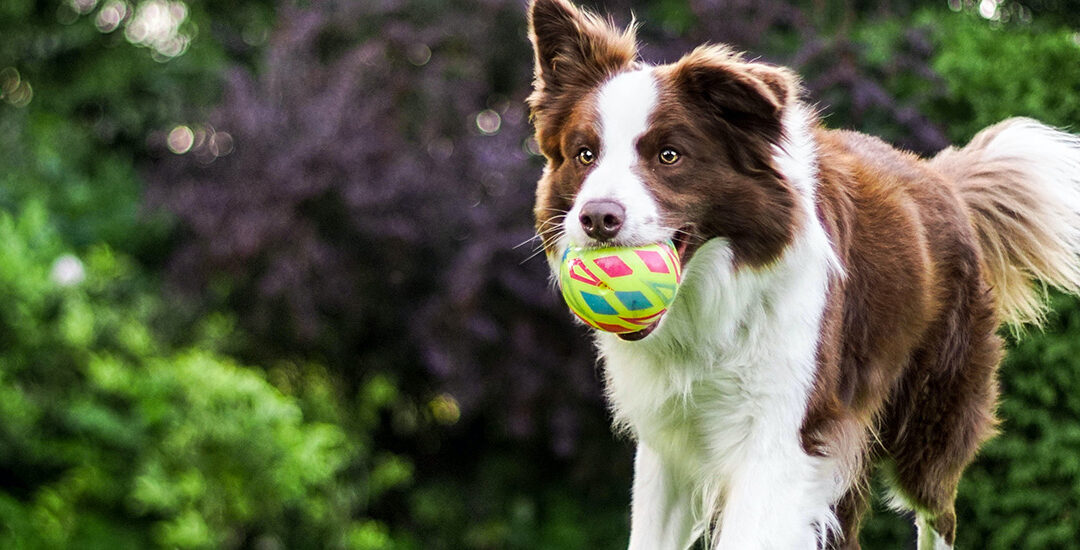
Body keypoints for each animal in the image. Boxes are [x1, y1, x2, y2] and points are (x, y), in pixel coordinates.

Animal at [527, 1, 1080, 548]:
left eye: (669, 155)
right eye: (584, 154)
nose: (597, 218)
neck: (711, 303)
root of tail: (941, 179)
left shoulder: (783, 436)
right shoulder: (668, 442)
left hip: (931, 419)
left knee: (938, 511)